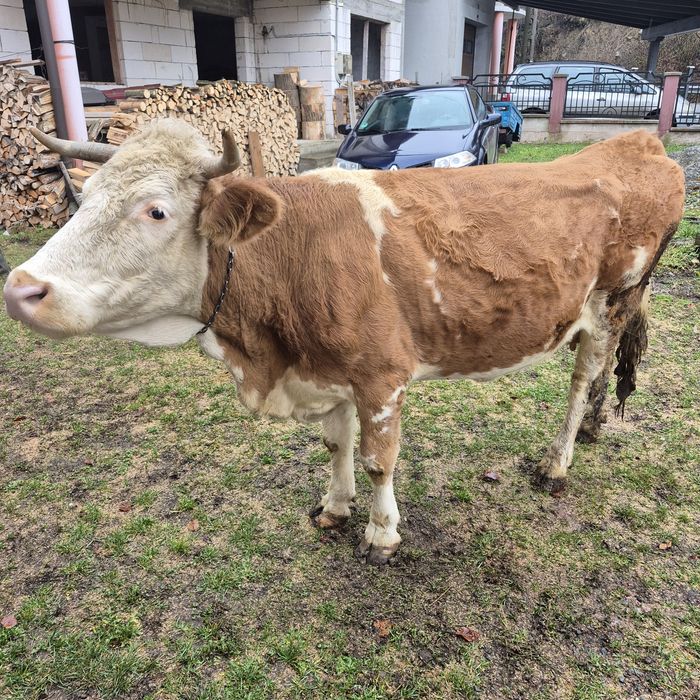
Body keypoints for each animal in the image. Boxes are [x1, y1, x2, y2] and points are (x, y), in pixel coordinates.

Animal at [3, 121, 685, 565]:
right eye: (85, 198)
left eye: (156, 211)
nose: (21, 288)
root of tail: (640, 142)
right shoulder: (327, 371)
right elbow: (336, 444)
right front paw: (334, 506)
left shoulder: (383, 374)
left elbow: (379, 458)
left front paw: (382, 535)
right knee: (603, 375)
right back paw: (594, 429)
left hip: (612, 301)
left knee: (582, 377)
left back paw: (558, 462)